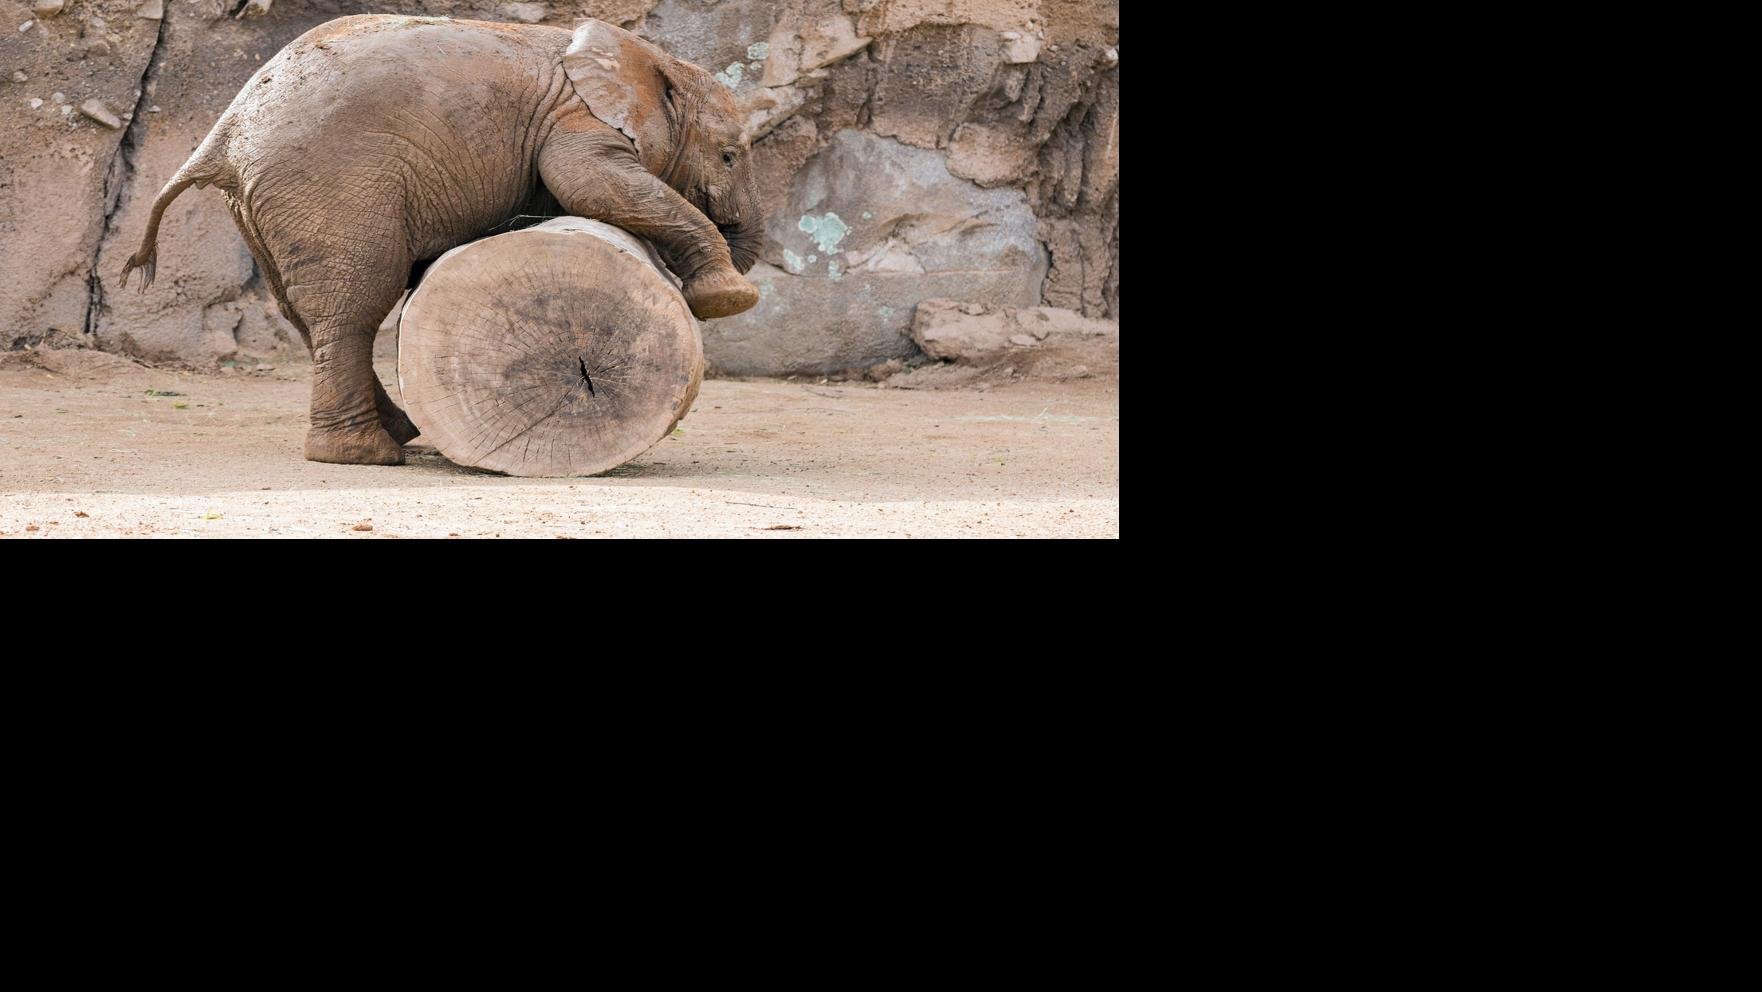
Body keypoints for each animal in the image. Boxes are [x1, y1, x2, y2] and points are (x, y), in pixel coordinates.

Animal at [115, 14, 764, 465]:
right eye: (729, 156)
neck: (649, 60)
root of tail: (223, 134)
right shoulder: (574, 120)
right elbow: (590, 183)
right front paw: (729, 299)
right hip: (334, 184)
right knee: (357, 302)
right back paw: (370, 455)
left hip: (266, 203)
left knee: (309, 312)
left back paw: (396, 434)